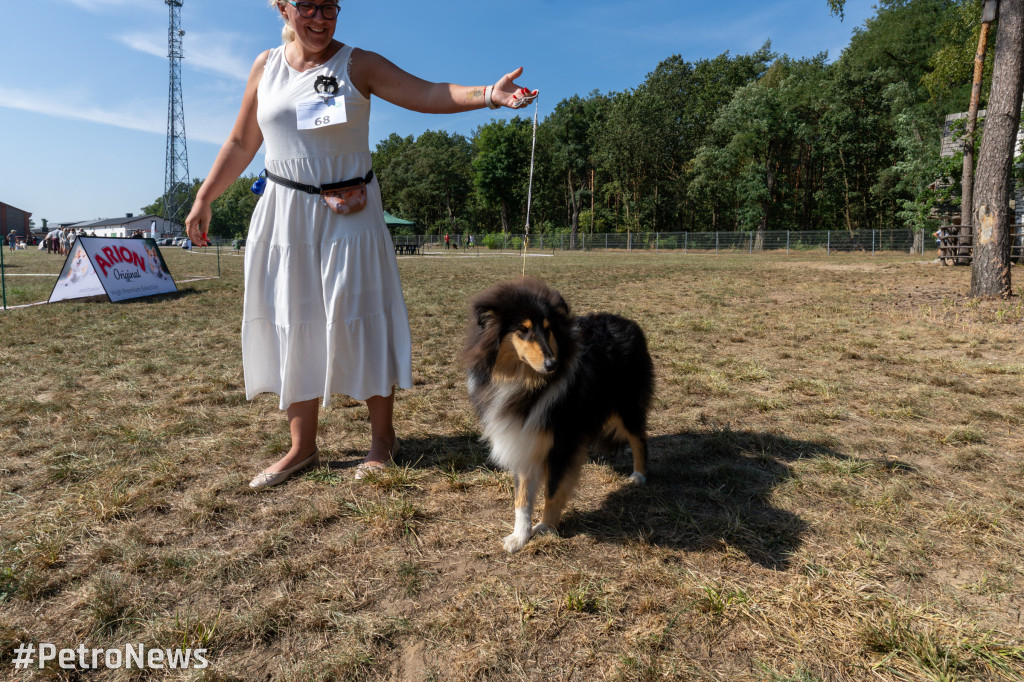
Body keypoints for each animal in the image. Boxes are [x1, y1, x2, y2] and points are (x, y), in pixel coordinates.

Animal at [460, 276, 651, 552]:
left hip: (626, 406)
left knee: (639, 439)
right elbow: (522, 497)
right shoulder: (523, 438)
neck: (524, 381)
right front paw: (519, 536)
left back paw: (639, 475)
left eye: (548, 329)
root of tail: (627, 321)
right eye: (523, 329)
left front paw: (546, 528)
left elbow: (553, 490)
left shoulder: (562, 443)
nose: (552, 365)